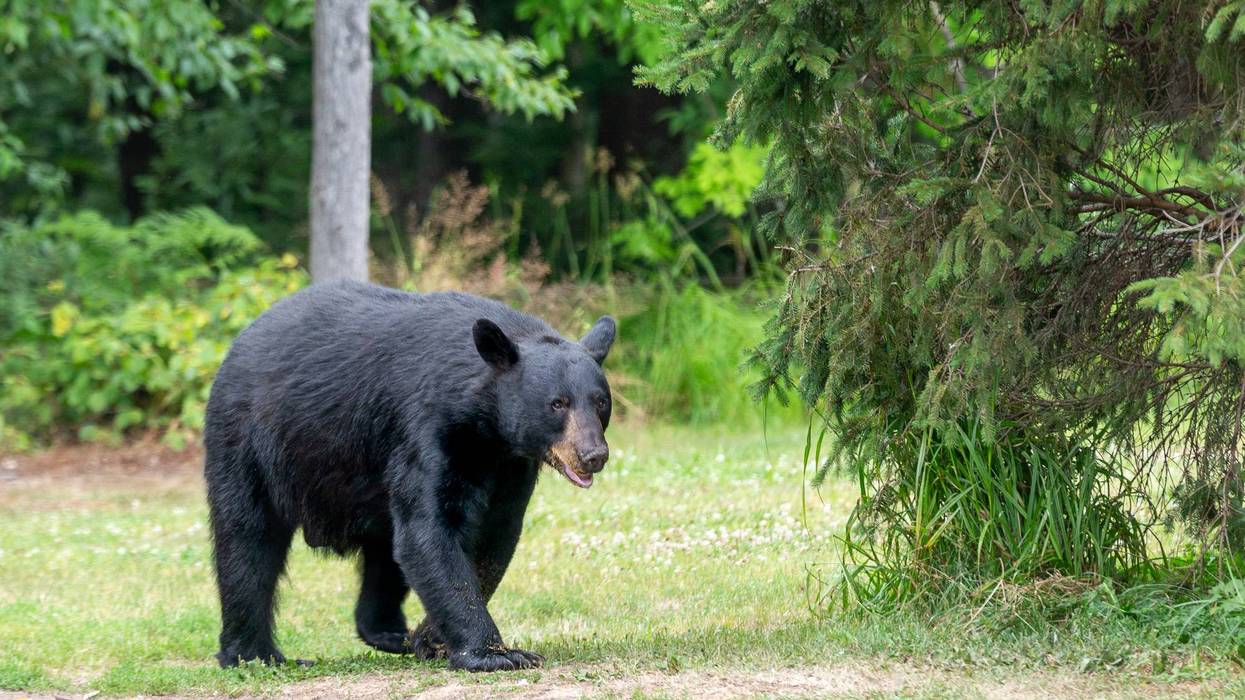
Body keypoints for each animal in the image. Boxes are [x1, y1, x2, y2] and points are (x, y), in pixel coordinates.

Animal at [203, 280, 614, 672]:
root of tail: (239, 343)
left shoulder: (510, 466)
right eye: (557, 403)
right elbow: (428, 532)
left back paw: (390, 633)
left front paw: (431, 639)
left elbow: (493, 537)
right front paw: (495, 654)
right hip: (247, 443)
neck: (484, 429)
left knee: (384, 555)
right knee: (247, 543)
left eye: (601, 402)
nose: (593, 455)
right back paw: (254, 654)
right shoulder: (427, 428)